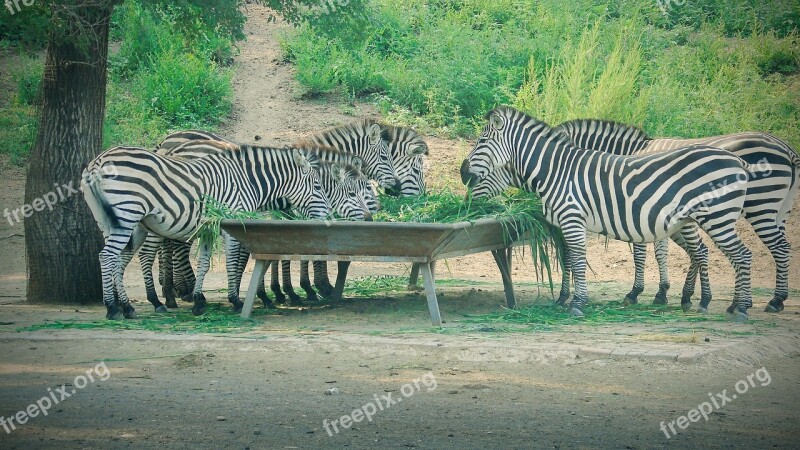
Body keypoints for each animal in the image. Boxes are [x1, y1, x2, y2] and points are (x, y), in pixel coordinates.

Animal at [82, 144, 332, 320]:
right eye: (317, 186)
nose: (328, 216)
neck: (247, 181)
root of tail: (98, 160)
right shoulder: (233, 224)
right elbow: (232, 264)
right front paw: (235, 301)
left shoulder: (208, 229)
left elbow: (203, 263)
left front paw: (198, 302)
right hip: (127, 215)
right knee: (107, 256)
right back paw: (113, 308)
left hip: (118, 222)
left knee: (118, 259)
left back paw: (127, 306)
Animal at [462, 107, 756, 322]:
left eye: (482, 141)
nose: (463, 176)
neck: (556, 171)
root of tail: (737, 160)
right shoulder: (566, 224)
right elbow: (569, 261)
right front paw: (565, 298)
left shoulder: (572, 219)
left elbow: (578, 261)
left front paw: (578, 302)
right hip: (701, 220)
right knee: (715, 254)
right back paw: (718, 303)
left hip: (717, 218)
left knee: (741, 255)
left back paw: (739, 308)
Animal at [556, 118, 800, 312]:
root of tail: (787, 148)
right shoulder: (655, 215)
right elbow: (662, 252)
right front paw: (664, 292)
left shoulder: (637, 210)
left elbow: (642, 254)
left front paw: (635, 292)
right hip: (780, 211)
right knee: (782, 247)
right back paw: (762, 300)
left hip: (760, 206)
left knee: (778, 247)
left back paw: (774, 301)